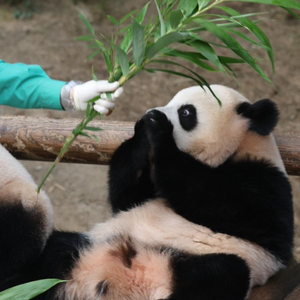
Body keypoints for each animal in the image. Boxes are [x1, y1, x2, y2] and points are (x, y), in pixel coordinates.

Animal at [0, 85, 292, 300]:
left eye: (186, 112)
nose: (151, 112)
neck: (232, 152)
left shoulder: (265, 181)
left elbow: (219, 201)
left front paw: (159, 128)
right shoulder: (141, 193)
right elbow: (126, 197)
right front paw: (142, 131)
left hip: (199, 263)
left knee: (221, 275)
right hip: (81, 249)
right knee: (46, 261)